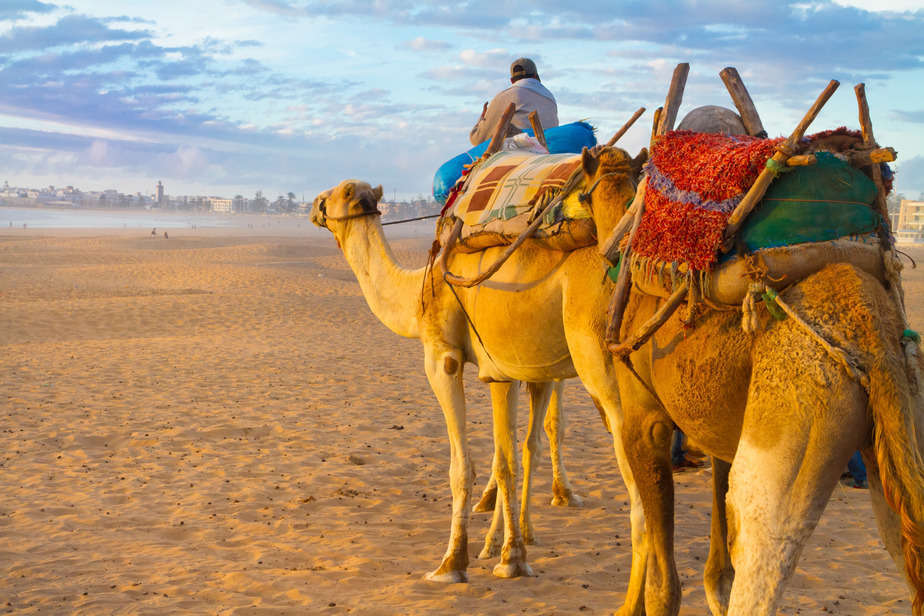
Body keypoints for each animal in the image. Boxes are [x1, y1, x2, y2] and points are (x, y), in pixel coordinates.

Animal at [310, 150, 648, 612]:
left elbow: (464, 465)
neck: (420, 290)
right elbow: (513, 456)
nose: (314, 205)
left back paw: (637, 600)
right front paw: (510, 553)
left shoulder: (442, 358)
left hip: (602, 359)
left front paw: (453, 563)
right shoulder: (509, 367)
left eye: (342, 192)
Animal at [580, 147, 924, 612]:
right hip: (902, 416)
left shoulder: (644, 419)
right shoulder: (720, 427)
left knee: (762, 540)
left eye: (581, 188)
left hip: (794, 419)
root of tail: (871, 330)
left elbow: (664, 582)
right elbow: (718, 567)